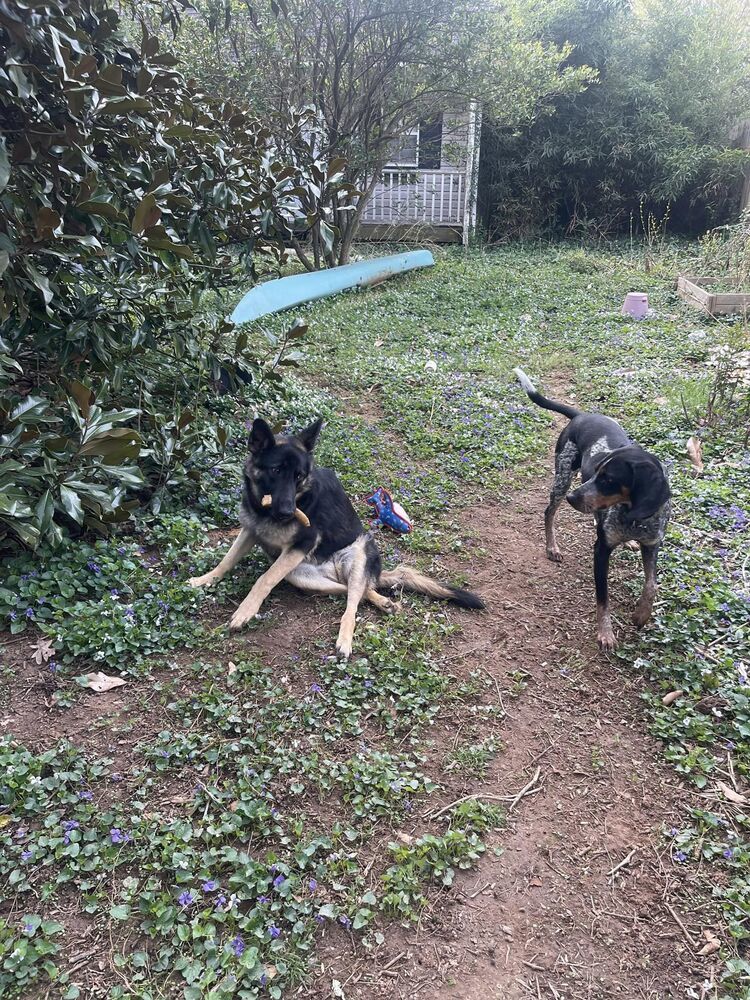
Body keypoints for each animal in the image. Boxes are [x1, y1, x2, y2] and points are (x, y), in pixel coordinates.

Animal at [185, 420, 484, 660]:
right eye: (276, 471)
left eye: (299, 476)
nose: (287, 511)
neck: (265, 511)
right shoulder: (250, 531)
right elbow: (226, 561)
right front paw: (203, 580)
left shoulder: (301, 545)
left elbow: (264, 579)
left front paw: (245, 611)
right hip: (302, 577)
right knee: (355, 591)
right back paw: (383, 602)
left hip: (357, 554)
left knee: (352, 605)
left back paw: (345, 640)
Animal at [516, 372, 668, 652]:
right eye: (596, 470)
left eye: (608, 479)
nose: (572, 498)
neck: (633, 518)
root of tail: (581, 415)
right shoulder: (601, 550)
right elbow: (602, 598)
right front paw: (605, 633)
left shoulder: (652, 544)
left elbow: (652, 584)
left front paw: (642, 614)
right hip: (563, 477)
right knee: (548, 512)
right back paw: (552, 546)